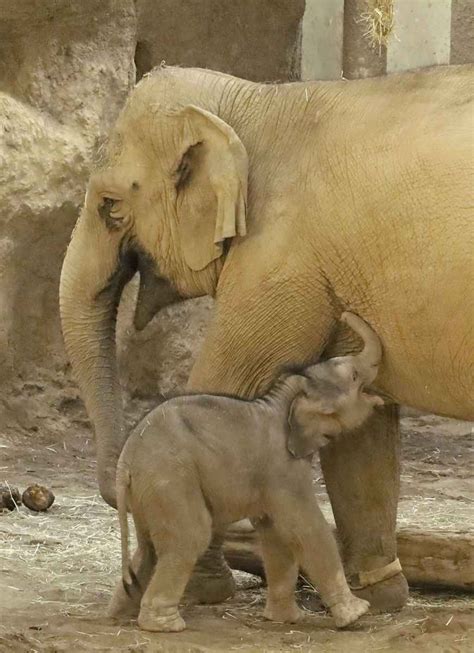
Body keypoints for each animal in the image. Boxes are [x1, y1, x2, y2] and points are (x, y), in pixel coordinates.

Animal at [111, 310, 386, 632]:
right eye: (354, 377)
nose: (345, 314)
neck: (286, 395)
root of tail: (125, 462)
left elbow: (275, 533)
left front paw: (286, 619)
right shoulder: (282, 467)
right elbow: (305, 526)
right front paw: (357, 613)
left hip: (149, 491)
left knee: (149, 547)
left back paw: (120, 613)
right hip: (170, 480)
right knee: (190, 536)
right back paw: (166, 625)